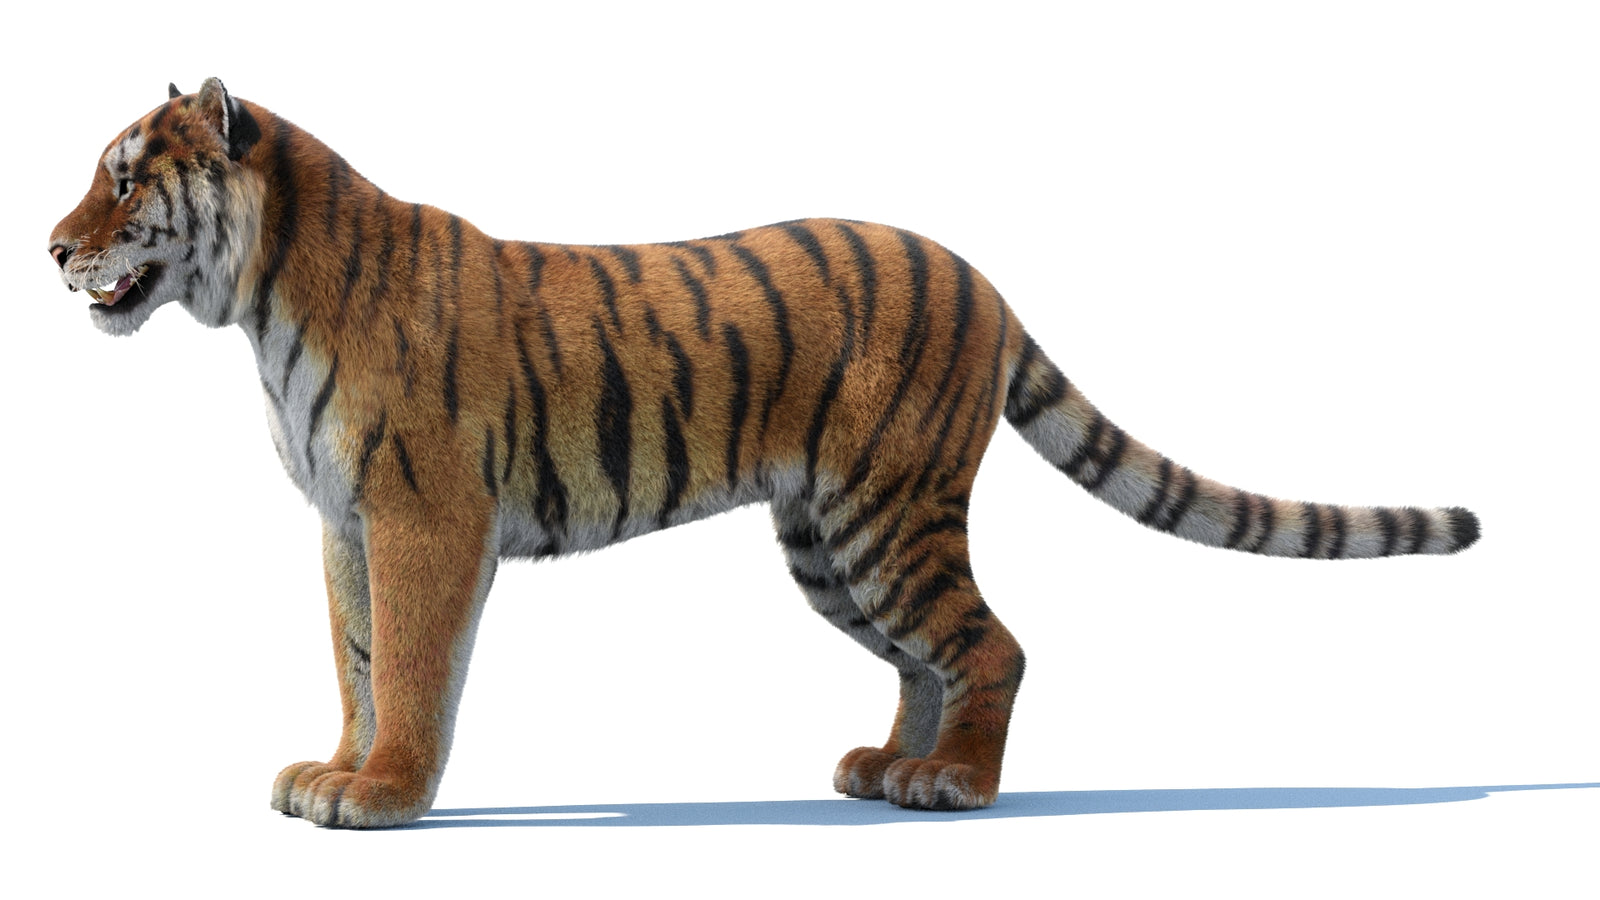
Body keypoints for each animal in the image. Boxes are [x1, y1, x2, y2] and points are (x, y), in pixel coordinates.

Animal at [48, 78, 1479, 829]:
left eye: (125, 178)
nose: (55, 248)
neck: (263, 300)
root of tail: (985, 280)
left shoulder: (422, 519)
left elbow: (405, 665)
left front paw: (385, 793)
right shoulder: (344, 523)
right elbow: (351, 659)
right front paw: (336, 774)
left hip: (886, 513)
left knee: (994, 645)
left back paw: (956, 785)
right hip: (830, 538)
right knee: (927, 656)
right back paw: (888, 772)